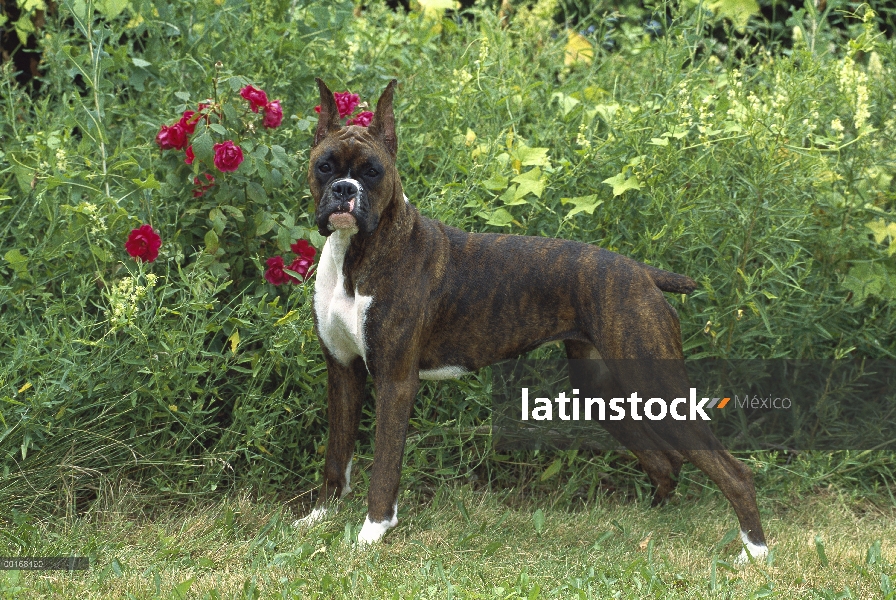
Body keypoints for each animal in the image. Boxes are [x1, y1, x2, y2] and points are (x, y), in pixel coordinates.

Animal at [300, 76, 768, 564]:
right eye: (325, 166)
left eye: (372, 171)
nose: (345, 190)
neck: (356, 255)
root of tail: (641, 273)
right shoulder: (343, 372)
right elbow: (337, 456)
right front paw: (319, 518)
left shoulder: (395, 381)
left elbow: (384, 467)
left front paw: (371, 533)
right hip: (604, 388)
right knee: (666, 460)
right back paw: (646, 529)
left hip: (652, 378)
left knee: (734, 472)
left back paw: (754, 553)